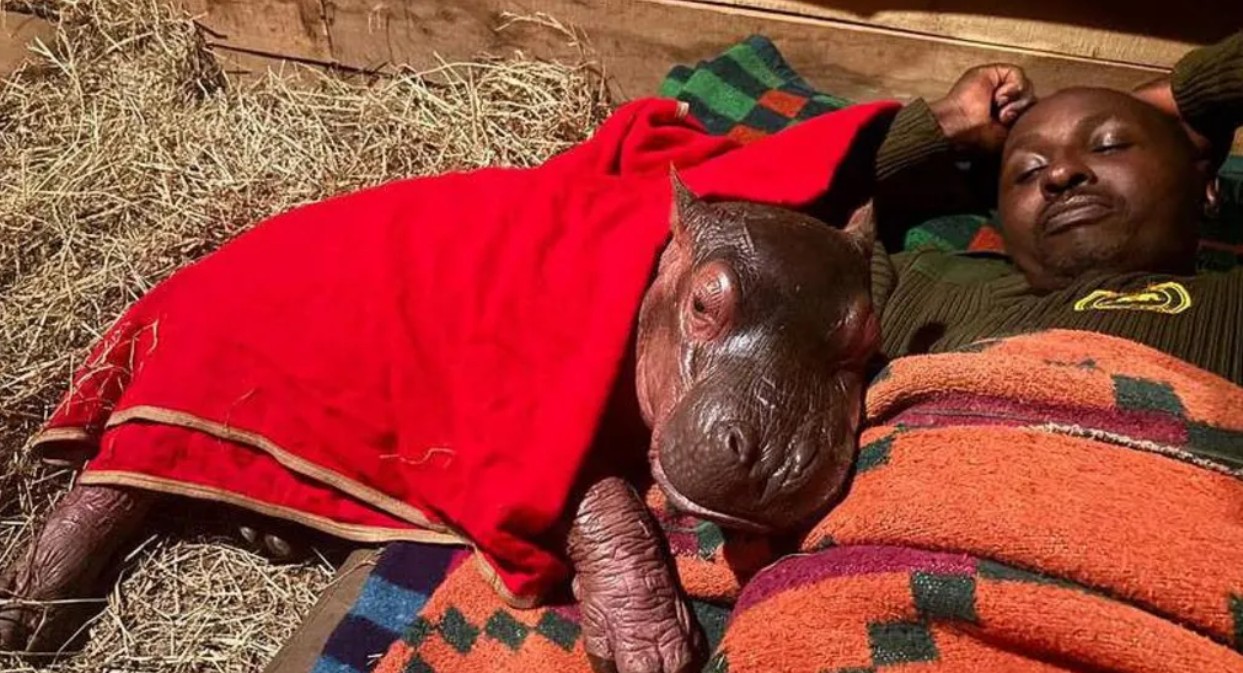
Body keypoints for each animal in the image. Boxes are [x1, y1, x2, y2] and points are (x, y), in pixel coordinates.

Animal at [0, 96, 888, 673]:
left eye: (865, 337)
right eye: (705, 302)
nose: (770, 453)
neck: (649, 286)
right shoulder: (532, 434)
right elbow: (605, 500)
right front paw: (651, 649)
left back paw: (265, 535)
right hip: (180, 381)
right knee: (106, 484)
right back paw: (28, 614)